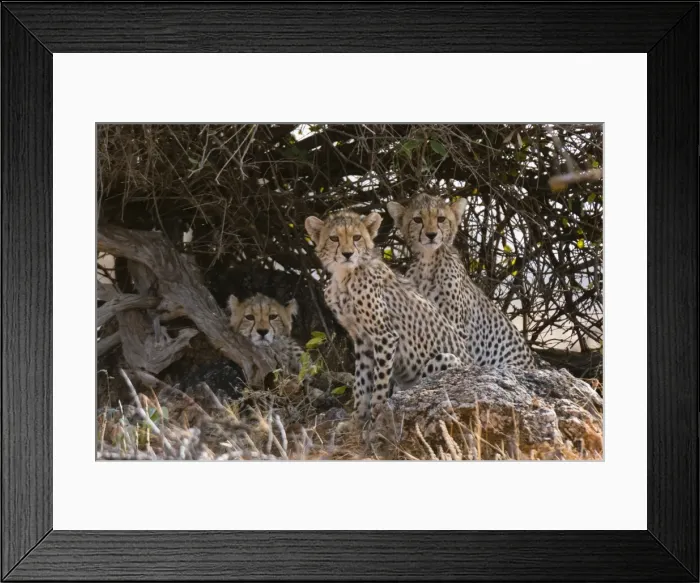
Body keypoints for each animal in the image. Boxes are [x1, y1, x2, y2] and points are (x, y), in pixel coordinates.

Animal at [304, 209, 473, 422]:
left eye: (357, 237)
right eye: (334, 238)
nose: (347, 254)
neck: (345, 277)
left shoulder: (385, 336)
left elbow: (380, 377)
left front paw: (376, 410)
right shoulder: (362, 339)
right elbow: (361, 379)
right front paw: (357, 417)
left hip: (445, 359)